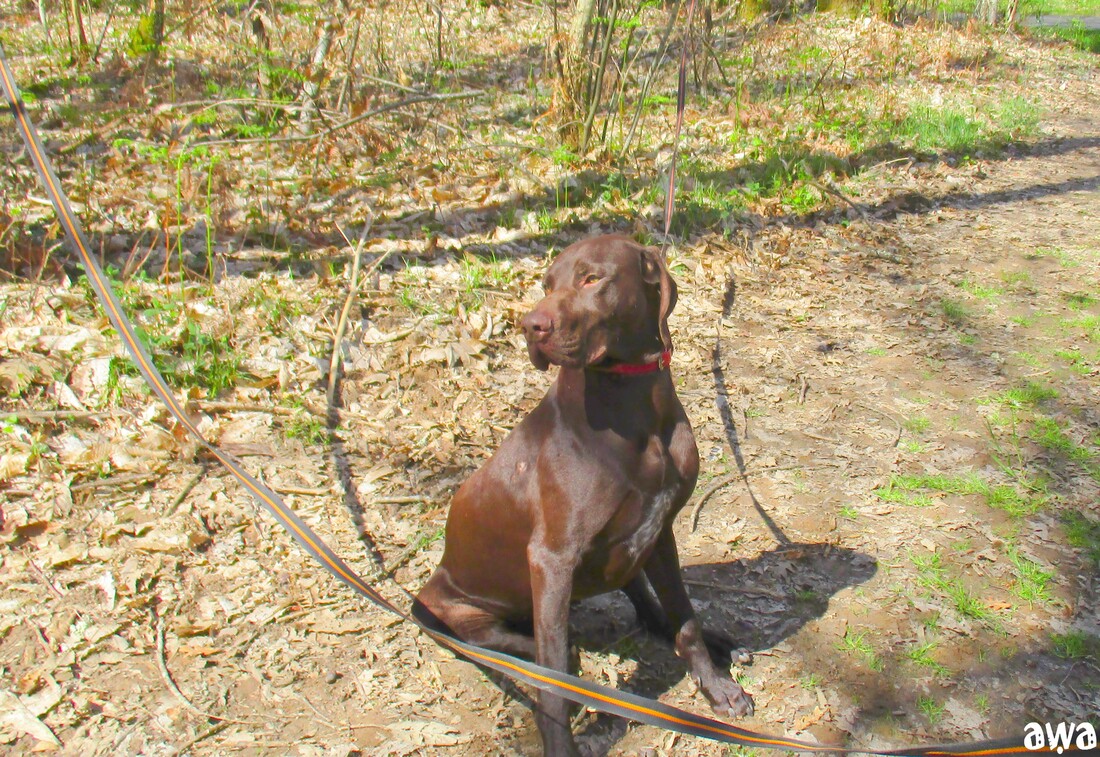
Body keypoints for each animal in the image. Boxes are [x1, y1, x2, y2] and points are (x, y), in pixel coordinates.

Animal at [413, 235, 756, 752]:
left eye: (593, 278)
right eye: (547, 285)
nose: (530, 326)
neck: (630, 402)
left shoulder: (660, 530)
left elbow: (685, 620)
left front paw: (716, 688)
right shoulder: (551, 559)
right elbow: (554, 678)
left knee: (650, 612)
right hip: (450, 609)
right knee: (513, 644)